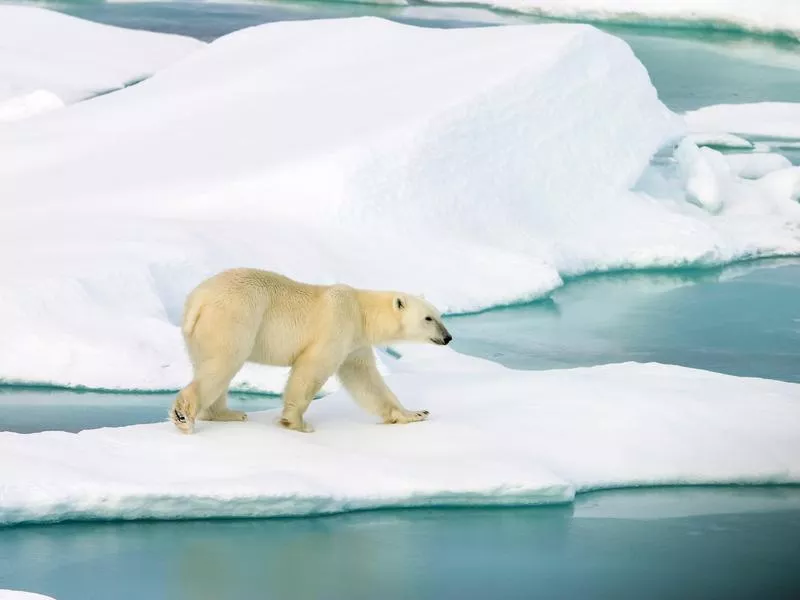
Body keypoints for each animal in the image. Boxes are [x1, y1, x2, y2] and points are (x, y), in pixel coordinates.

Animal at [170, 270, 454, 434]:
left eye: (439, 315)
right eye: (428, 318)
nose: (448, 337)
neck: (361, 310)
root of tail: (198, 299)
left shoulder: (355, 342)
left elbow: (365, 379)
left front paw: (414, 413)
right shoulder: (337, 324)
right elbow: (312, 369)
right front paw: (297, 423)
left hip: (198, 332)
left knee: (211, 366)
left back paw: (224, 413)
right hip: (233, 317)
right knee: (223, 363)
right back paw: (184, 415)